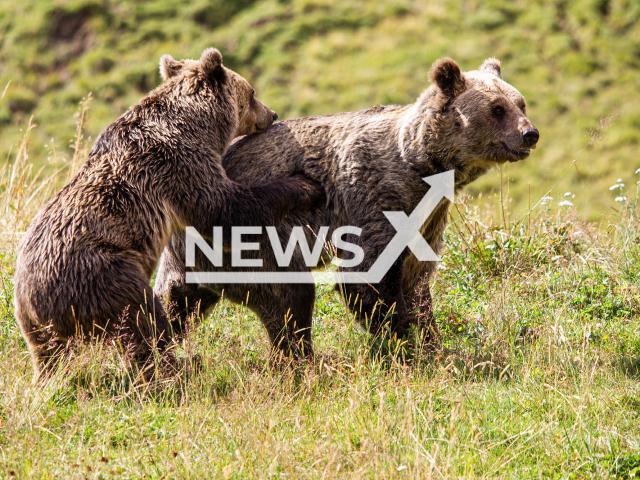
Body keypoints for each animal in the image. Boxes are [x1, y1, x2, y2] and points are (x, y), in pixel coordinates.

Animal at [13, 47, 324, 376]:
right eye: (252, 92)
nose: (272, 113)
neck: (197, 125)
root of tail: (33, 304)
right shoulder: (179, 164)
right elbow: (225, 210)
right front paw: (305, 185)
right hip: (100, 274)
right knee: (142, 319)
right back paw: (180, 365)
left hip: (39, 326)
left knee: (52, 357)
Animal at [156, 56, 540, 356]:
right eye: (497, 109)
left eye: (521, 103)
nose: (530, 134)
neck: (422, 166)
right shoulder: (375, 195)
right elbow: (368, 277)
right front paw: (406, 343)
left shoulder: (428, 217)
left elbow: (417, 280)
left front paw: (432, 340)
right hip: (253, 238)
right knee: (289, 298)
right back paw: (303, 363)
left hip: (195, 259)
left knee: (174, 302)